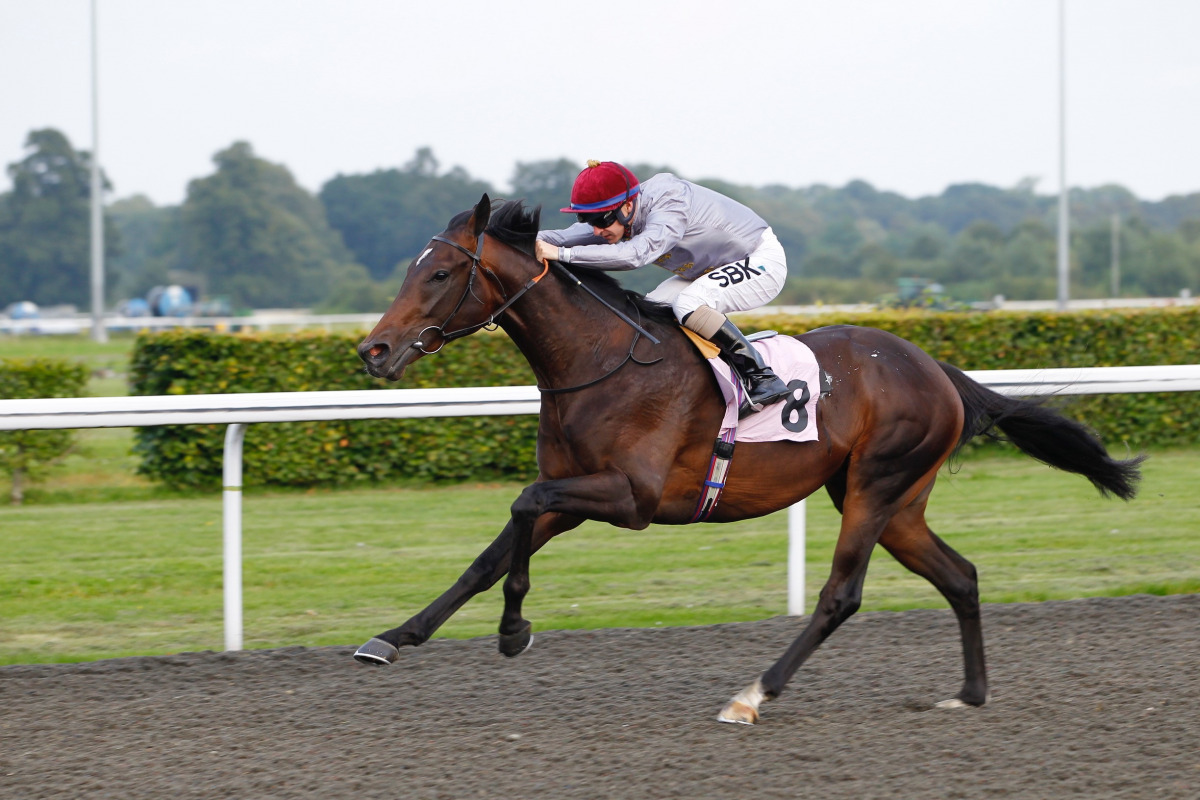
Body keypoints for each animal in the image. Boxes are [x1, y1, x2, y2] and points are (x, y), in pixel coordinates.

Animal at [350, 194, 1142, 724]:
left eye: (440, 274)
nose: (373, 350)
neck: (601, 360)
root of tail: (939, 370)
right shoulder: (577, 486)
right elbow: (491, 554)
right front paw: (392, 638)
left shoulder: (629, 498)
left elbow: (523, 504)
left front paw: (515, 633)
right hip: (896, 501)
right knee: (961, 575)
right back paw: (970, 693)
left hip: (876, 487)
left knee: (842, 595)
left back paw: (753, 694)